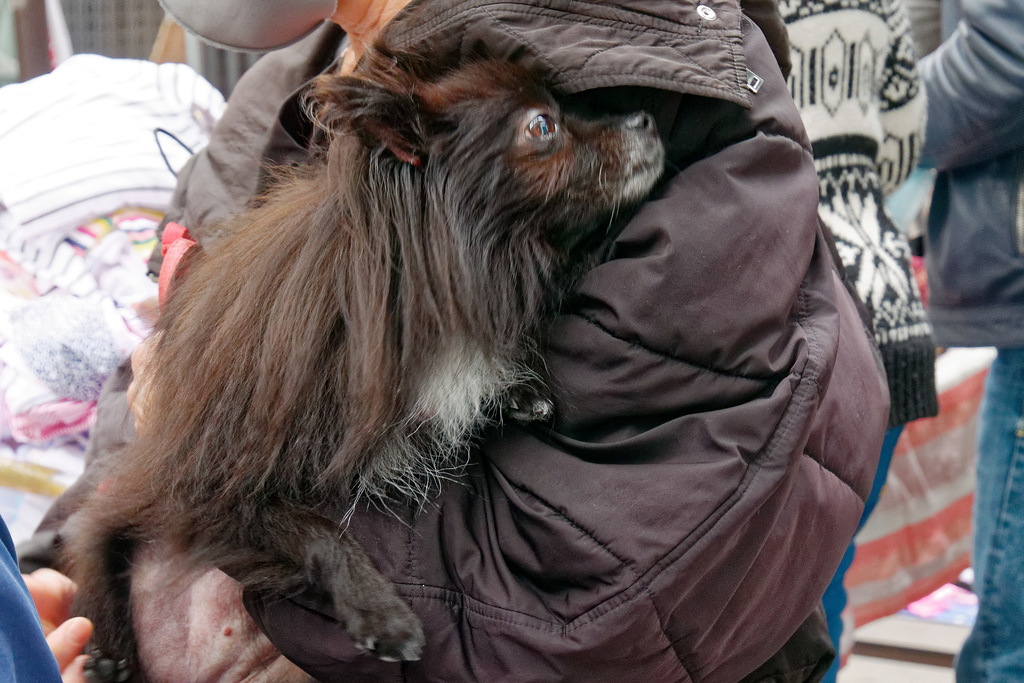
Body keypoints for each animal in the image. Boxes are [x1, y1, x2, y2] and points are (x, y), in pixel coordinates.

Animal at [59, 45, 663, 679]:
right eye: (543, 127)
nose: (646, 117)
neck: (426, 298)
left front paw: (515, 389)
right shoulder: (214, 492)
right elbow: (320, 530)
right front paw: (379, 613)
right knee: (93, 539)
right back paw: (107, 650)